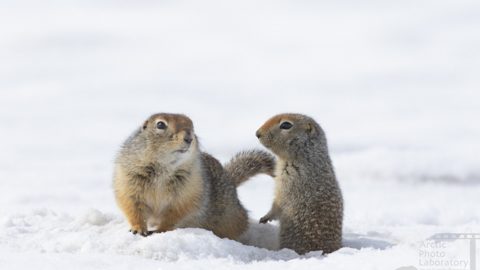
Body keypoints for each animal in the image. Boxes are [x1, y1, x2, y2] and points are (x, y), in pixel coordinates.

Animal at [113, 113, 276, 239]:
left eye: (192, 126)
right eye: (160, 124)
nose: (189, 138)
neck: (164, 167)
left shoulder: (188, 192)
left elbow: (176, 214)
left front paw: (160, 230)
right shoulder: (129, 181)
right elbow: (133, 207)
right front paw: (138, 228)